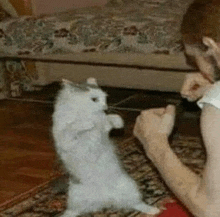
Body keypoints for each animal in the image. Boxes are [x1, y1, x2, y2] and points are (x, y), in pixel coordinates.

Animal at [52, 77, 160, 216]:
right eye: (94, 99)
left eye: (105, 98)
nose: (105, 106)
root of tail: (104, 199)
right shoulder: (64, 138)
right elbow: (73, 127)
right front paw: (87, 123)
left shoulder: (105, 128)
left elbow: (111, 119)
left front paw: (117, 122)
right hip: (75, 197)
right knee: (73, 212)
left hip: (129, 187)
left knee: (136, 204)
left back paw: (153, 210)